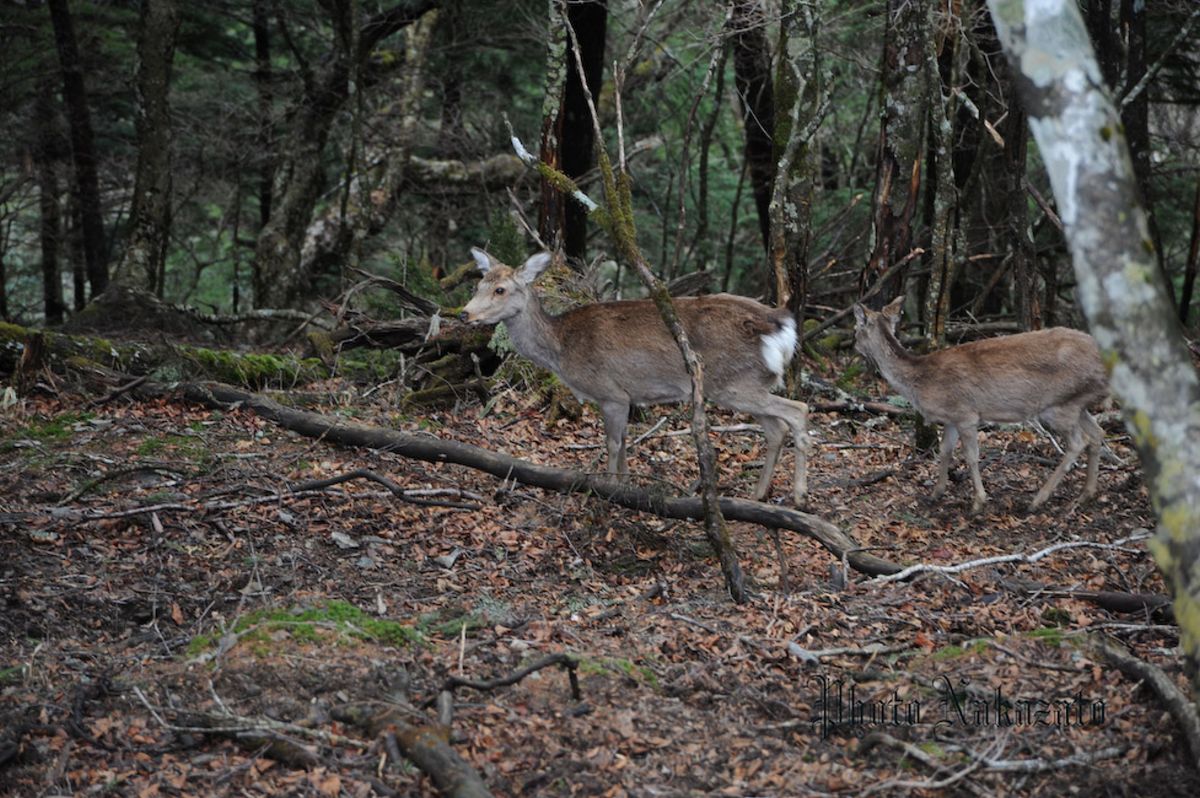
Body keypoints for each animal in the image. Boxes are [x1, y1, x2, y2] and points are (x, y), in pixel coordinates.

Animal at [458, 247, 816, 504]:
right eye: (478, 285)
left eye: (500, 289)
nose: (465, 313)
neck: (563, 348)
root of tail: (781, 326)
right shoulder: (628, 396)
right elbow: (626, 444)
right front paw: (628, 488)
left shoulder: (610, 392)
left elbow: (613, 444)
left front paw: (608, 492)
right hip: (746, 383)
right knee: (776, 428)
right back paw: (758, 495)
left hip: (732, 384)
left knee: (798, 410)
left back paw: (799, 496)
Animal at [854, 295, 1104, 513]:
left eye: (857, 328)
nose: (855, 347)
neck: (921, 382)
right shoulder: (950, 419)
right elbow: (945, 451)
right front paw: (936, 493)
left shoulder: (966, 414)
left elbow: (971, 456)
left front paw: (978, 502)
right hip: (1077, 403)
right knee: (1097, 433)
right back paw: (1086, 494)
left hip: (1058, 406)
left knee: (1078, 441)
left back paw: (1037, 500)